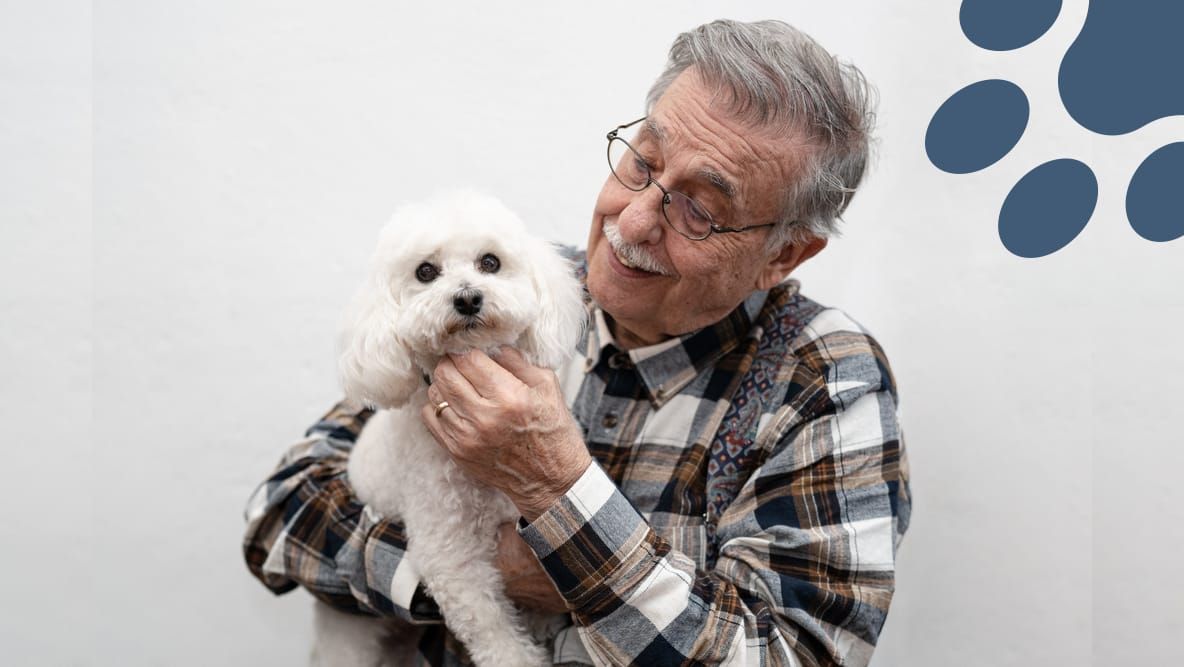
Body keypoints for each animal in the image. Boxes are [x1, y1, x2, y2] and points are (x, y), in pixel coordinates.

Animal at [311, 192, 587, 666]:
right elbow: (495, 633)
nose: (468, 299)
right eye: (425, 272)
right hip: (346, 636)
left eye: (490, 262)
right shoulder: (450, 554)